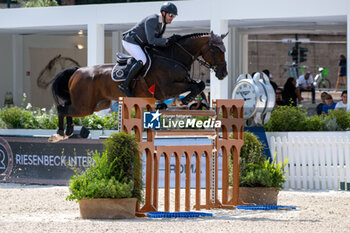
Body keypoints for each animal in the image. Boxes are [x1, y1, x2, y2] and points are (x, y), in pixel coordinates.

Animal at [50, 31, 230, 142]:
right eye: (217, 50)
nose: (223, 73)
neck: (173, 58)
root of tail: (77, 71)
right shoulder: (167, 87)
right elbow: (195, 87)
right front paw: (185, 101)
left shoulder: (182, 82)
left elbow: (199, 85)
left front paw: (191, 102)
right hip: (85, 106)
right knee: (62, 109)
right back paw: (60, 133)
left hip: (96, 104)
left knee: (67, 108)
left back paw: (68, 131)